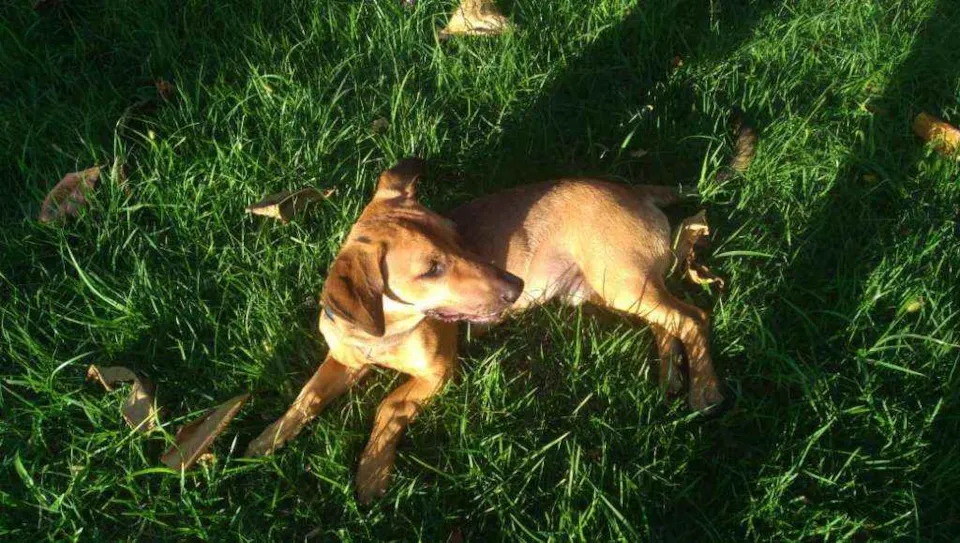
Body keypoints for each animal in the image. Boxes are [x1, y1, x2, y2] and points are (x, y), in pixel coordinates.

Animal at [247, 116, 756, 503]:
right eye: (431, 268)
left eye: (459, 236)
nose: (516, 286)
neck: (385, 332)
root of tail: (639, 189)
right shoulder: (343, 361)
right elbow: (306, 397)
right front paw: (264, 440)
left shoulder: (438, 373)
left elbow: (388, 407)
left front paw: (371, 474)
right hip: (621, 288)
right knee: (668, 325)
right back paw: (671, 377)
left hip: (623, 282)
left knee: (694, 319)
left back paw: (705, 390)